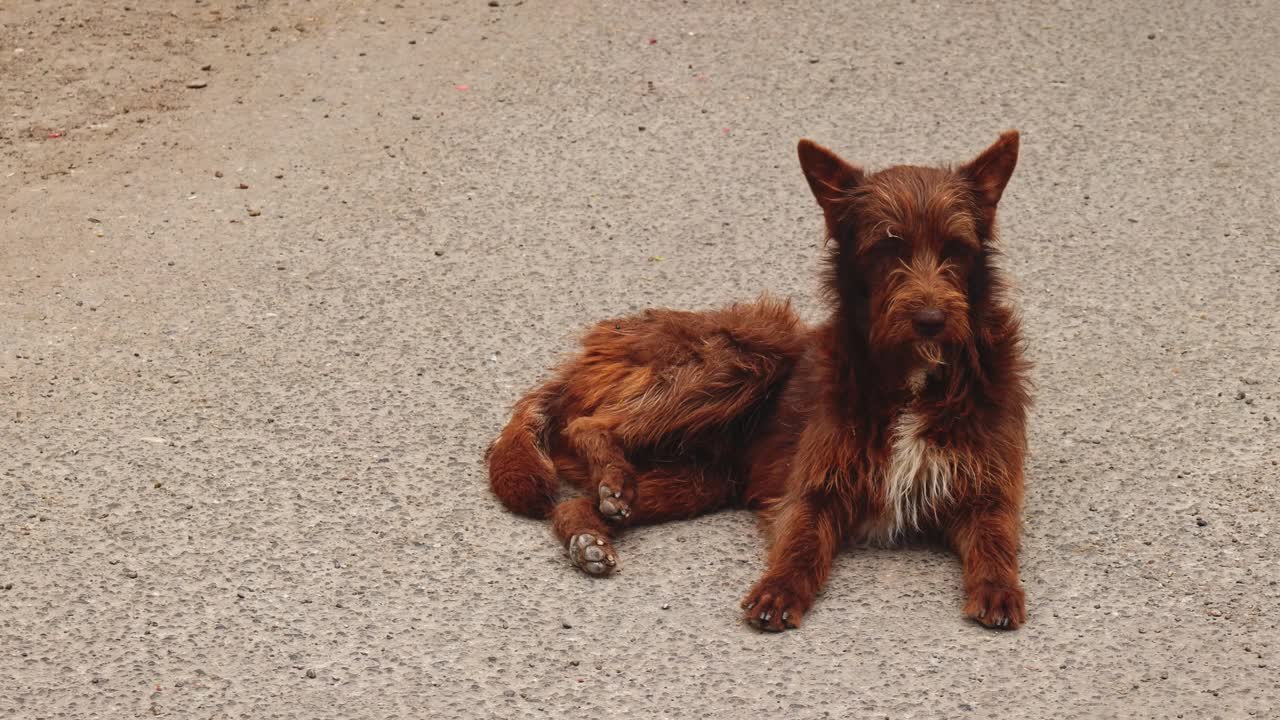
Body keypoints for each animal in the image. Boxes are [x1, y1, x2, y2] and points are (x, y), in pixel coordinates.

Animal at [481, 133, 1029, 627]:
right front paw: (778, 589)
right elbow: (801, 544)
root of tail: (584, 357)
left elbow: (997, 537)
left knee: (574, 503)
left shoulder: (986, 491)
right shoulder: (813, 490)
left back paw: (589, 534)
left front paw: (999, 588)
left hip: (699, 478)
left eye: (955, 249)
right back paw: (611, 482)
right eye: (888, 248)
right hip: (752, 353)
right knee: (590, 425)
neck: (913, 378)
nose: (932, 320)